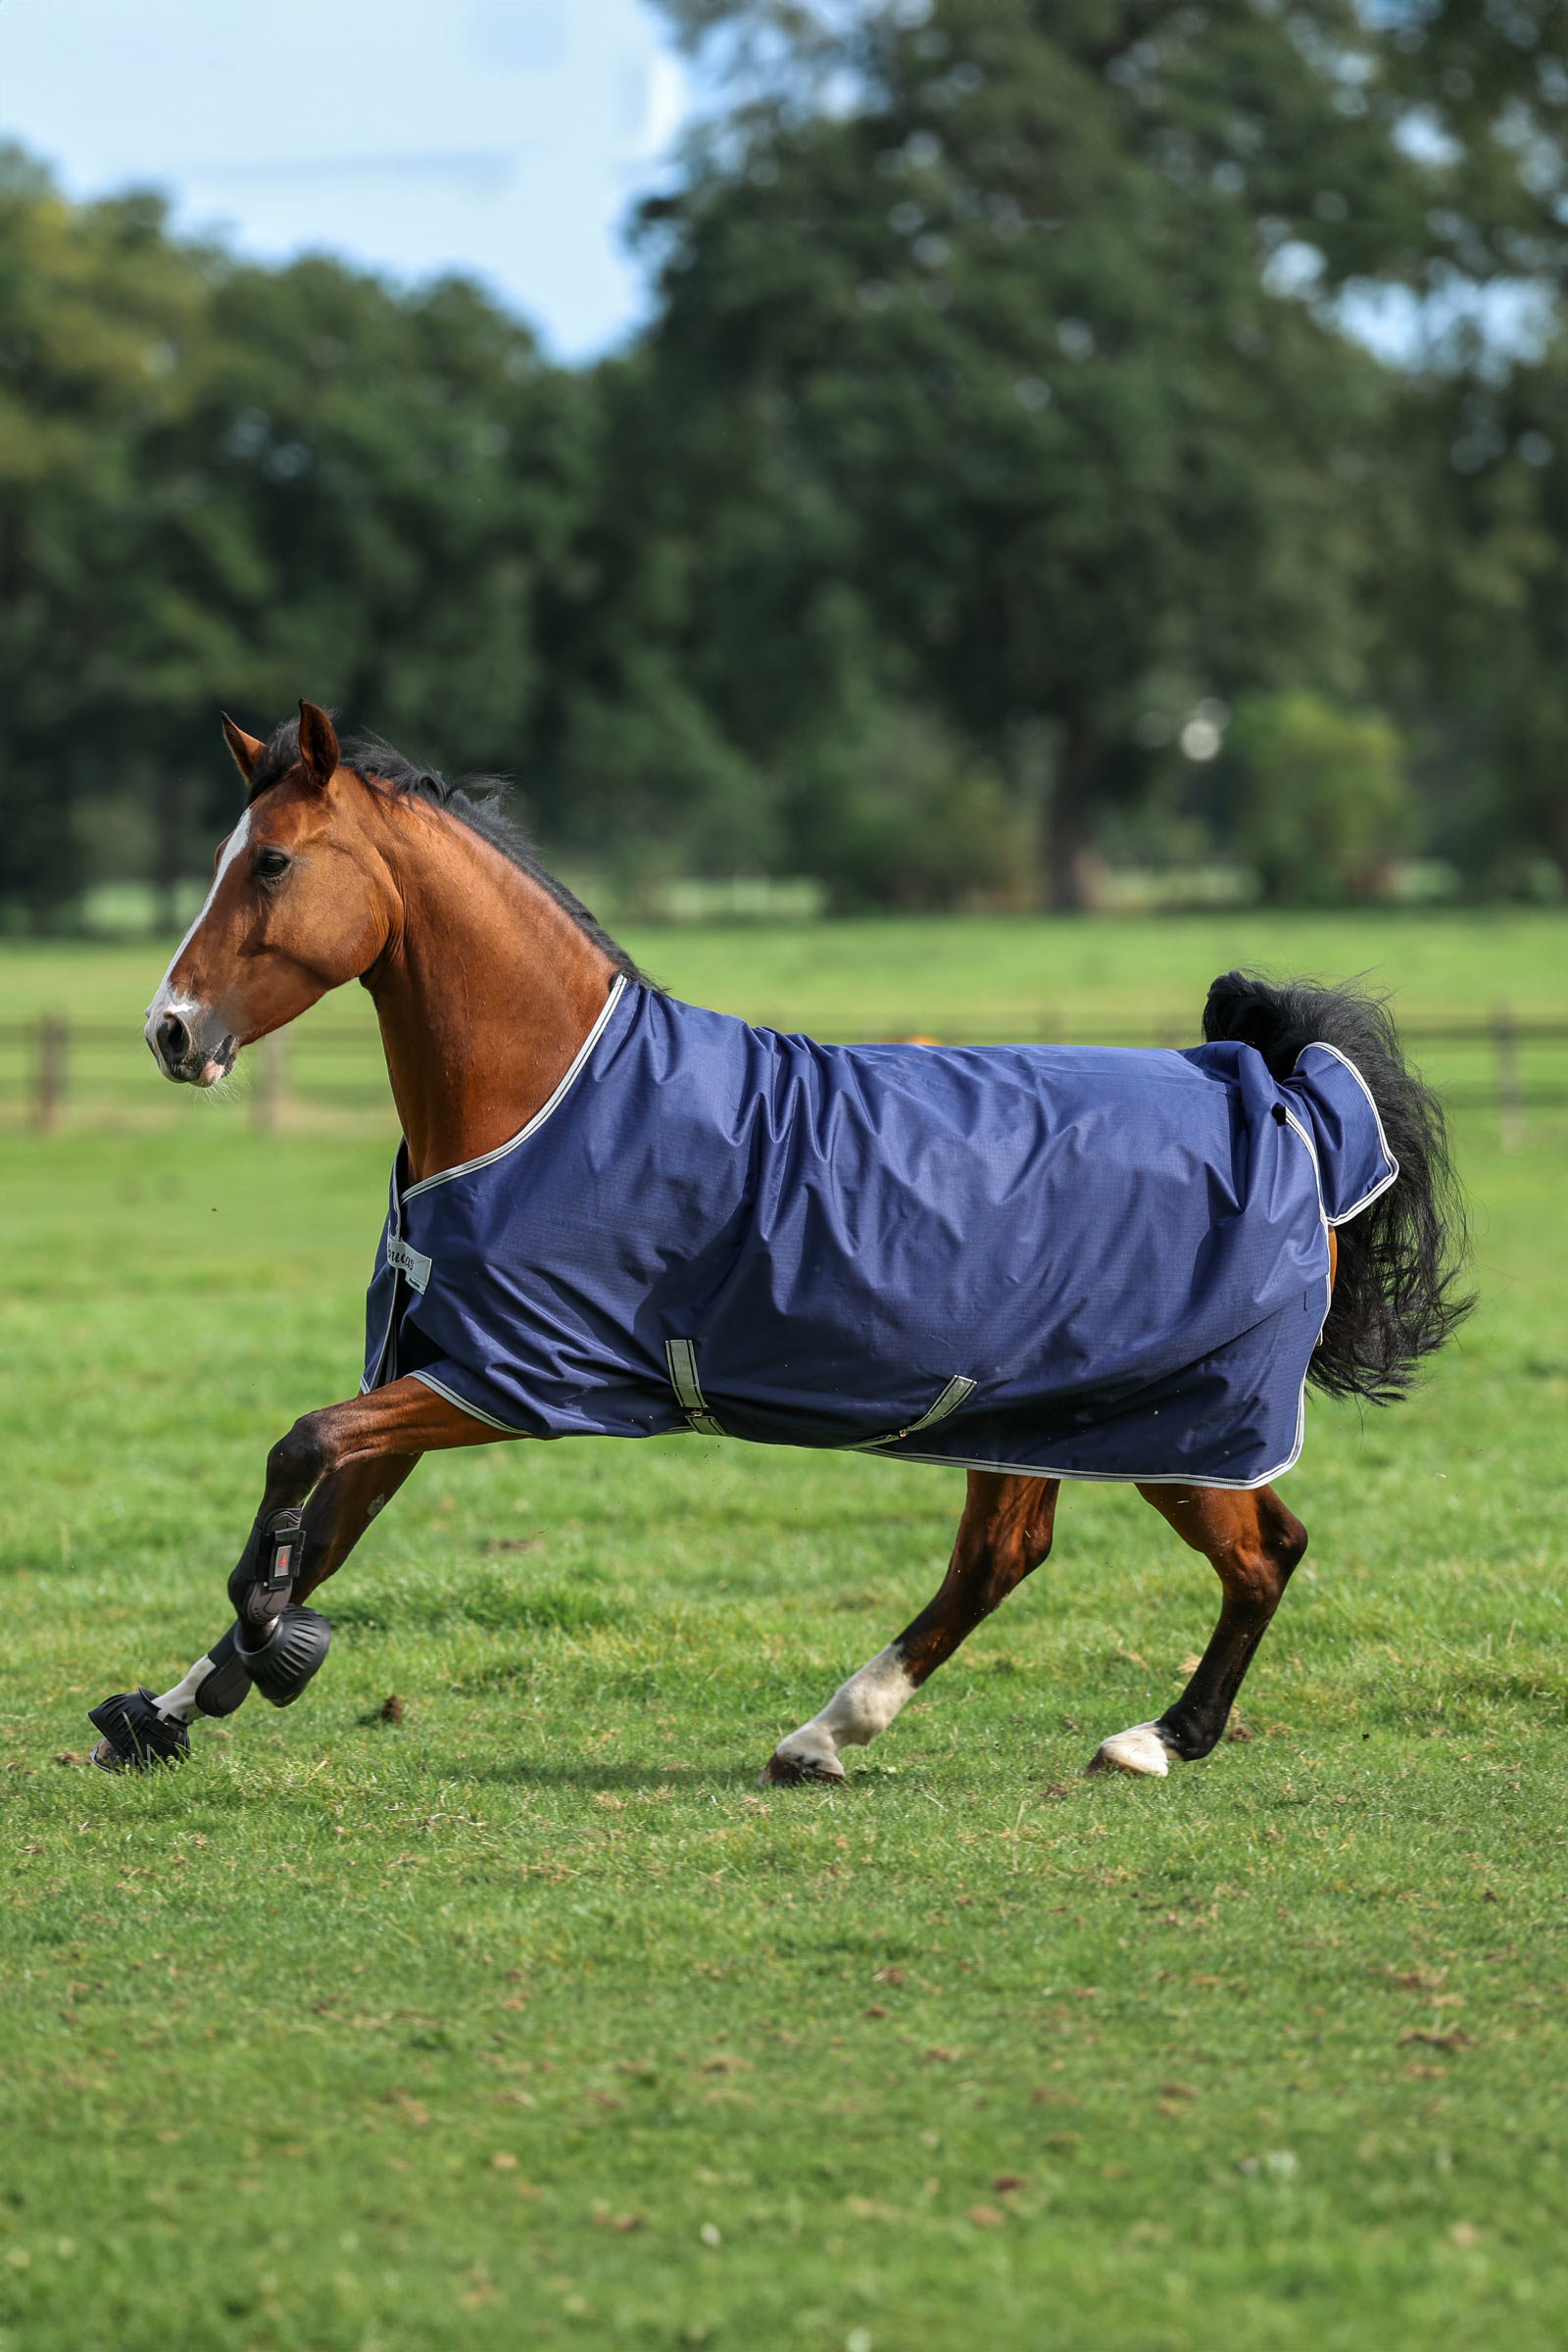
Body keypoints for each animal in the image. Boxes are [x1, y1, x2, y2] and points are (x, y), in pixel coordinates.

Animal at [88, 702, 1471, 1782]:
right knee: (1009, 1555)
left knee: (1256, 1553)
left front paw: (265, 1645)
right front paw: (171, 1708)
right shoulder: (438, 1368)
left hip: (1177, 1422)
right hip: (1039, 1414)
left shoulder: (516, 1381)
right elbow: (326, 1516)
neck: (549, 1097)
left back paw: (1150, 1740)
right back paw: (831, 1735)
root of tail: (1290, 1099)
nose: (170, 1030)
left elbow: (300, 1456)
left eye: (271, 863)